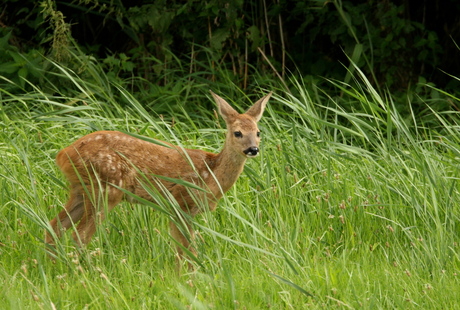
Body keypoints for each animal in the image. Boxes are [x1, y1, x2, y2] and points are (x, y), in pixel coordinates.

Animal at [45, 91, 272, 262]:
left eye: (258, 132)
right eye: (237, 133)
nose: (253, 149)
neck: (210, 174)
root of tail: (63, 154)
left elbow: (182, 249)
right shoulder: (182, 203)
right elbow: (188, 250)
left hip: (80, 189)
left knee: (55, 226)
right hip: (106, 188)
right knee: (80, 235)